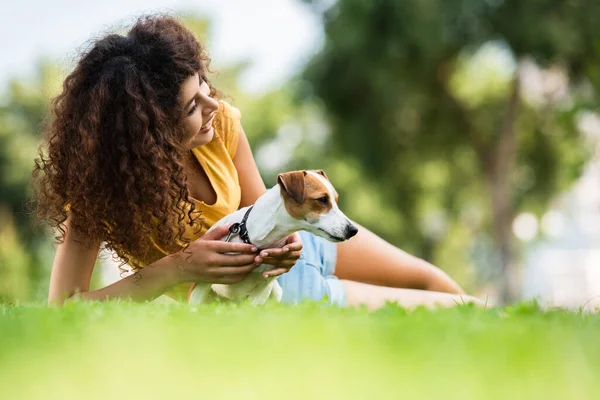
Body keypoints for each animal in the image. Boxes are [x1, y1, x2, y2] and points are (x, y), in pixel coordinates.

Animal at [189, 170, 356, 306]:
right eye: (322, 199)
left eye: (336, 200)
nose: (353, 230)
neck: (252, 238)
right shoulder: (204, 280)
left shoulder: (264, 286)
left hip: (276, 291)